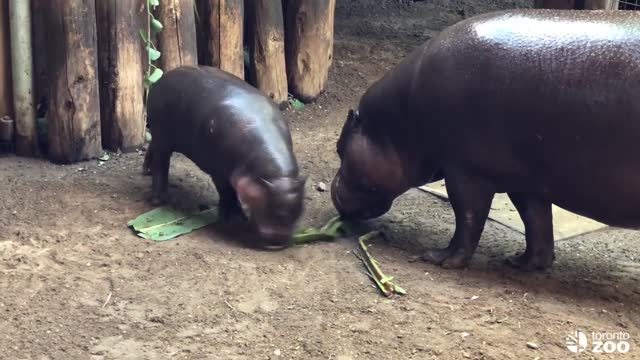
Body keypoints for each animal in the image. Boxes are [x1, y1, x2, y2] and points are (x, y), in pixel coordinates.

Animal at [143, 65, 308, 250]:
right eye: (272, 209)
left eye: (300, 210)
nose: (278, 244)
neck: (274, 176)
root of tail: (163, 77)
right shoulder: (220, 171)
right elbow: (226, 191)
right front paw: (233, 217)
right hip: (162, 135)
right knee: (161, 164)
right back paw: (158, 200)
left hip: (162, 137)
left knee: (152, 150)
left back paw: (146, 171)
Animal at [330, 9, 640, 270]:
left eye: (339, 148)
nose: (332, 190)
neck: (397, 124)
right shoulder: (525, 179)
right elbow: (536, 221)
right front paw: (521, 262)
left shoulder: (465, 171)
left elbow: (468, 217)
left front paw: (439, 258)